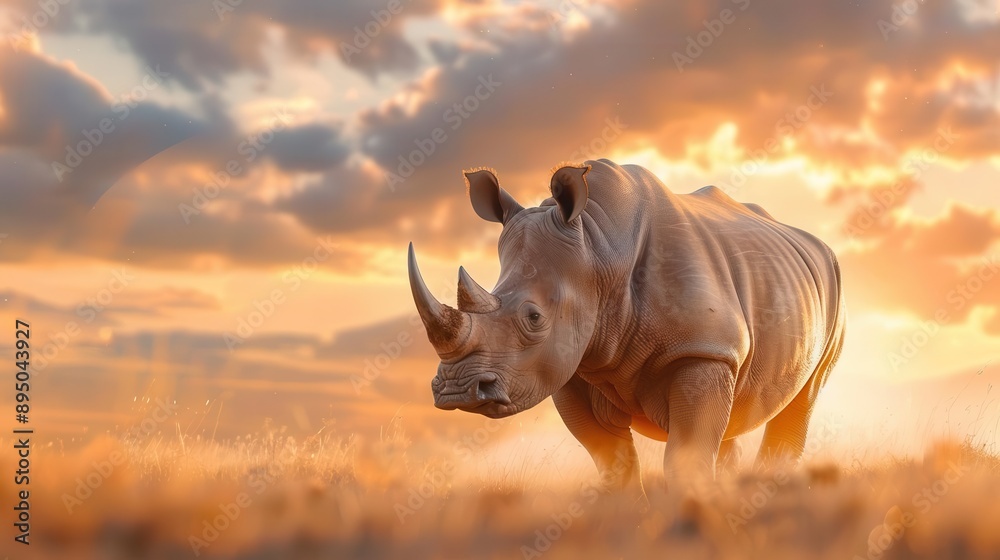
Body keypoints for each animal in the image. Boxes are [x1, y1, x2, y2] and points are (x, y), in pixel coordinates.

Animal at [407, 159, 845, 497]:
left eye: (534, 317)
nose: (456, 390)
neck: (599, 249)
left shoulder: (702, 350)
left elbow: (686, 457)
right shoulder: (572, 367)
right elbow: (612, 464)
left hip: (833, 288)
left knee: (802, 400)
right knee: (734, 416)